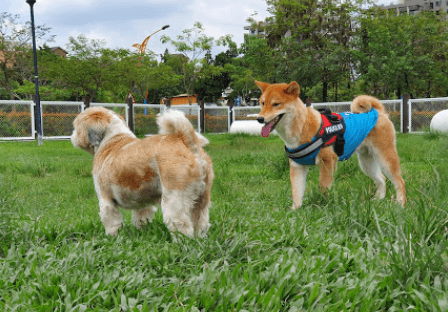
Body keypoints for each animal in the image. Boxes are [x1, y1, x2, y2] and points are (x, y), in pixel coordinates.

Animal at [71, 107, 214, 236]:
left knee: (181, 225)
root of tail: (186, 142)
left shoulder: (106, 200)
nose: (72, 136)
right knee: (201, 222)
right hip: (202, 199)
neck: (112, 140)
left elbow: (112, 223)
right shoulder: (142, 203)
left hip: (175, 197)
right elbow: (141, 219)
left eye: (76, 127)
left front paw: (111, 238)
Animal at [256, 80, 406, 208]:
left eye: (276, 104)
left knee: (399, 181)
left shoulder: (327, 161)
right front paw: (295, 211)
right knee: (381, 179)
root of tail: (378, 112)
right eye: (262, 103)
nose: (259, 119)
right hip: (366, 162)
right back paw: (378, 200)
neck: (303, 126)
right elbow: (297, 192)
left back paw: (400, 204)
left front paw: (321, 206)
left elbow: (323, 187)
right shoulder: (297, 166)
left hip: (385, 157)